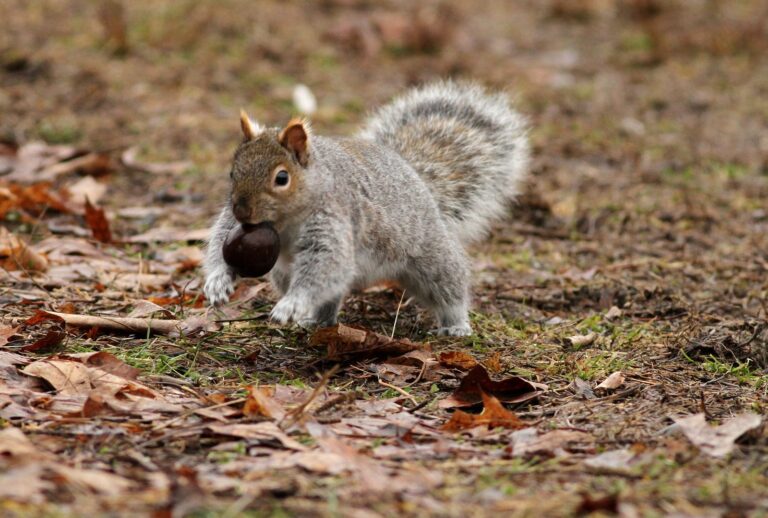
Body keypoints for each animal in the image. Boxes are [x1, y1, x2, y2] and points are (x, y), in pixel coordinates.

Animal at [203, 81, 530, 336]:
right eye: (233, 172)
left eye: (282, 178)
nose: (242, 211)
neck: (284, 223)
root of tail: (415, 176)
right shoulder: (232, 226)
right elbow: (220, 243)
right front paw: (217, 282)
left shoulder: (333, 220)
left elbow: (325, 265)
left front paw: (292, 304)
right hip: (284, 273)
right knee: (330, 295)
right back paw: (315, 320)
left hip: (432, 256)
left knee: (449, 288)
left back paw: (456, 325)